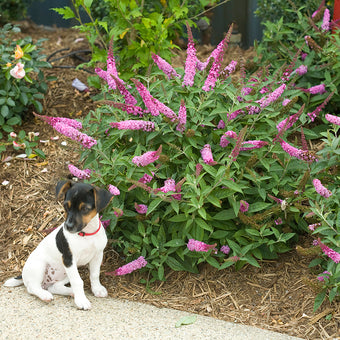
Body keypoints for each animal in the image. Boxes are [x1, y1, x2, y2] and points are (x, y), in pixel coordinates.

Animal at [3, 182, 113, 310]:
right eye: (66, 206)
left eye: (85, 208)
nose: (68, 226)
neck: (86, 235)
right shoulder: (69, 259)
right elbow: (78, 281)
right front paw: (81, 301)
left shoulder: (97, 255)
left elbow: (94, 275)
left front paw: (97, 289)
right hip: (40, 266)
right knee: (32, 287)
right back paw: (45, 295)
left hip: (65, 272)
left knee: (54, 287)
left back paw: (70, 292)